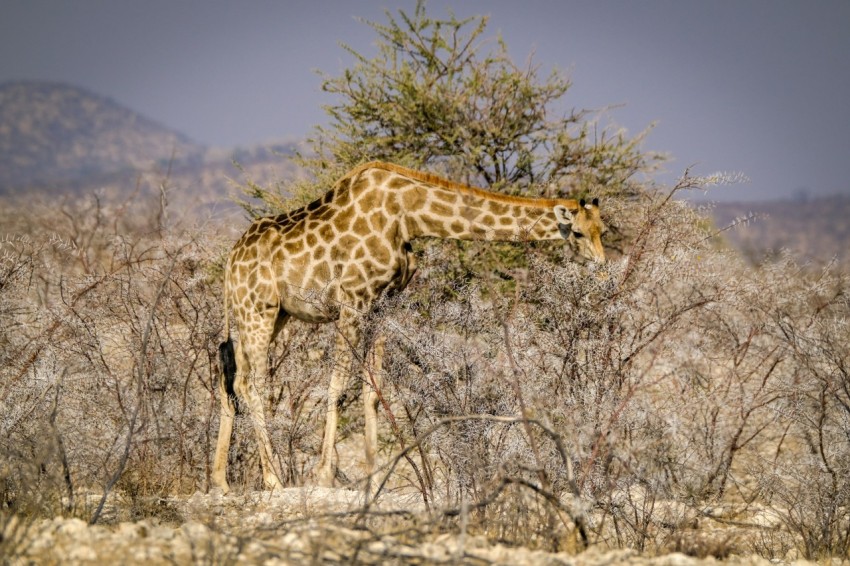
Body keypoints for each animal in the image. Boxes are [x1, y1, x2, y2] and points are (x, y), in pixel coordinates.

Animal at [215, 160, 608, 492]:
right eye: (577, 234)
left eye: (603, 230)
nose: (602, 270)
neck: (408, 215)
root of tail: (230, 260)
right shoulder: (352, 300)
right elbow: (338, 386)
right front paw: (325, 476)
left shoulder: (383, 304)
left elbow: (373, 391)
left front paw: (374, 481)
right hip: (259, 309)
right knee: (252, 383)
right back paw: (273, 479)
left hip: (266, 314)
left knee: (230, 374)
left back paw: (221, 480)